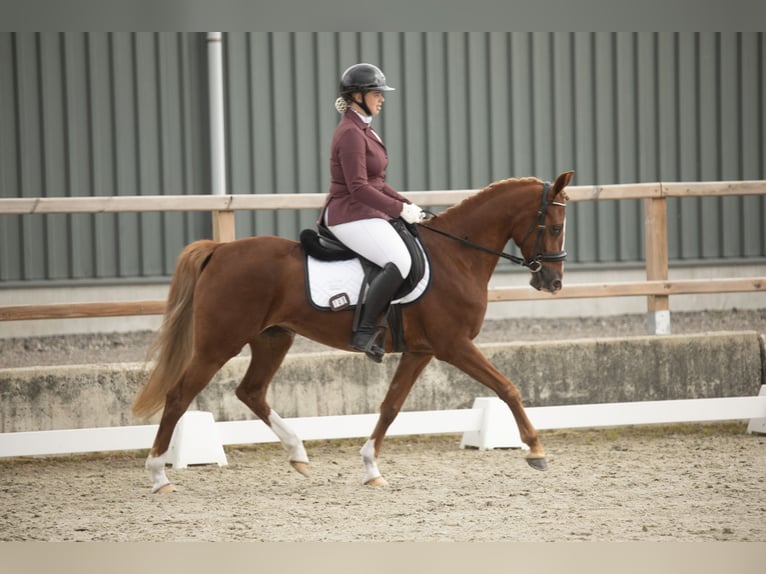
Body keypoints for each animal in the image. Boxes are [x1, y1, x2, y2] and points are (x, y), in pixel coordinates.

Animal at [134, 169, 576, 492]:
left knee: (251, 392)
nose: (552, 282)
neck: (458, 255)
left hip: (274, 337)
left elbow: (391, 406)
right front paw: (535, 450)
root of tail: (221, 249)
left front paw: (371, 468)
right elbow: (507, 388)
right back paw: (159, 476)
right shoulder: (454, 345)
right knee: (179, 396)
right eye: (554, 227)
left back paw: (298, 454)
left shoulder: (421, 351)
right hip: (219, 343)